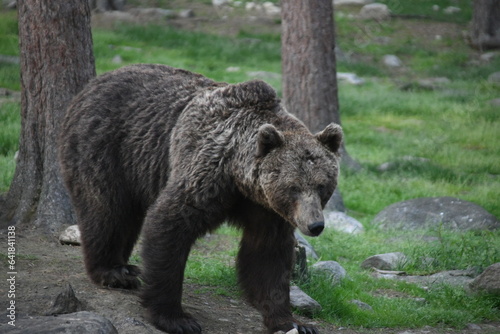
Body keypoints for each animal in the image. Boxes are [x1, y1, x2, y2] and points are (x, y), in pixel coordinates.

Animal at [56, 64, 342, 334]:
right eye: (293, 187)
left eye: (322, 186)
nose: (315, 225)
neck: (239, 177)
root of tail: (93, 83)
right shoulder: (206, 171)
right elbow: (170, 223)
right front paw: (176, 318)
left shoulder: (266, 209)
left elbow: (268, 256)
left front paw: (293, 322)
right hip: (108, 146)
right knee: (107, 210)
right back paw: (114, 271)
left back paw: (125, 267)